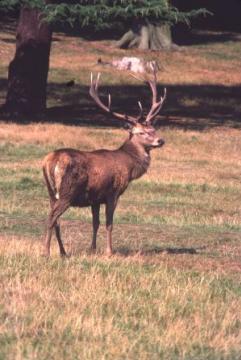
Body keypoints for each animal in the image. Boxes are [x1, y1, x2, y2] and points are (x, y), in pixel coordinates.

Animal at [42, 67, 167, 258]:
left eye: (153, 129)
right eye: (141, 132)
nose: (160, 140)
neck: (129, 167)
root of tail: (51, 161)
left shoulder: (95, 197)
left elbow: (96, 223)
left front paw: (92, 248)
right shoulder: (113, 192)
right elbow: (109, 223)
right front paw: (109, 251)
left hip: (51, 192)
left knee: (55, 219)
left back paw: (63, 252)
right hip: (67, 191)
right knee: (52, 217)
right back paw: (47, 252)